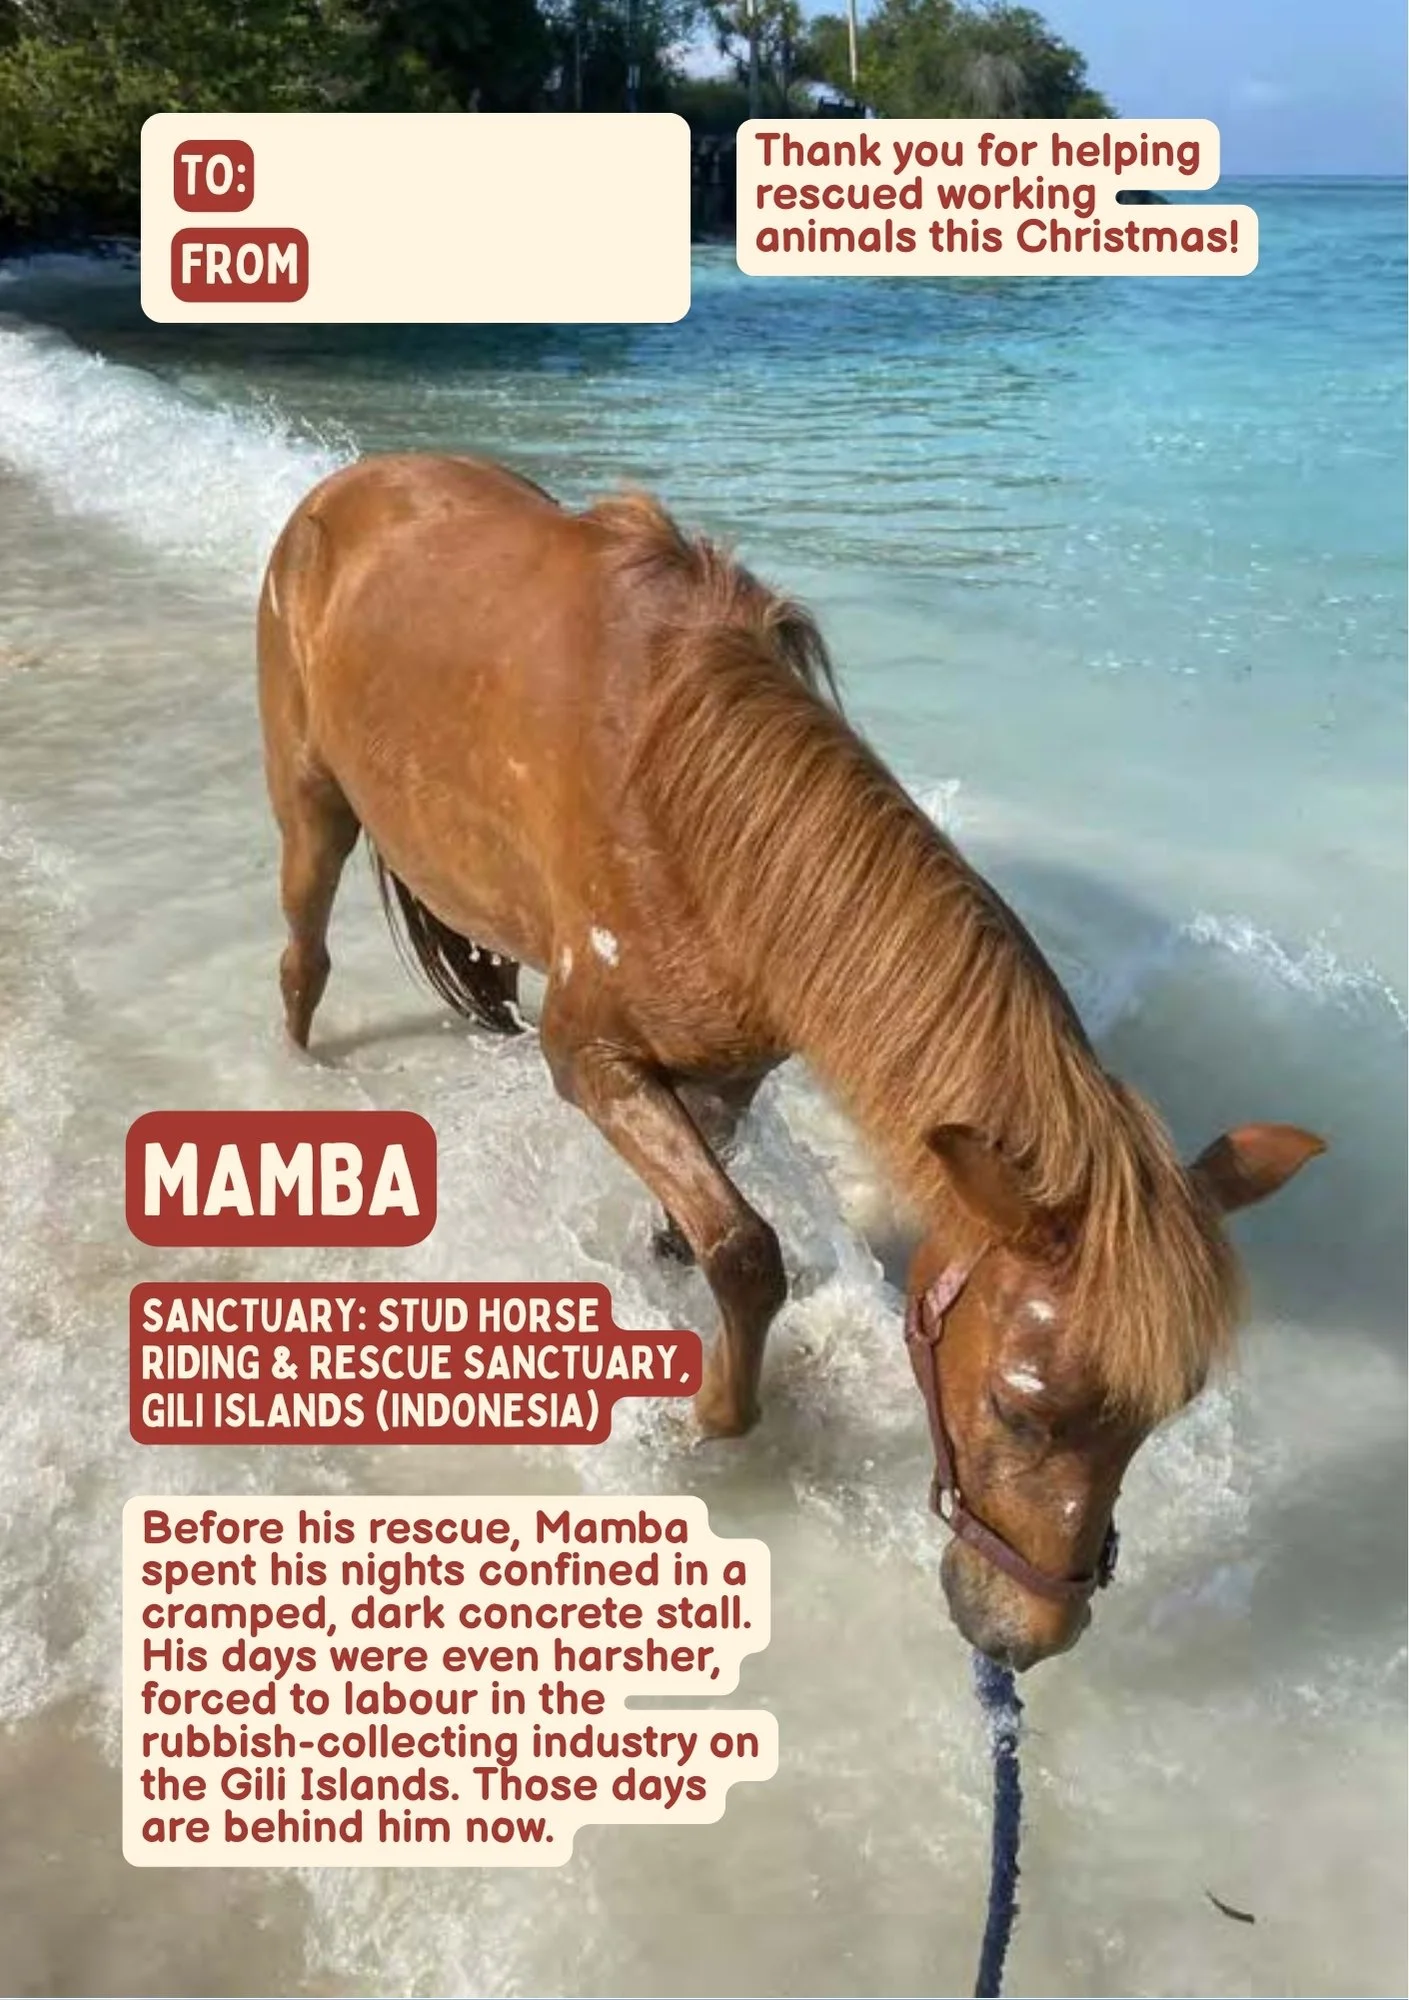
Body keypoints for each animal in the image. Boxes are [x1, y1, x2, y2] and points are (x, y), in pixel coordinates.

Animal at [257, 452, 1324, 1671]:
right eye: (1020, 1410)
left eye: (1156, 1418)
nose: (1026, 1638)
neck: (686, 807)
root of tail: (347, 487)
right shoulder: (589, 1057)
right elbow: (746, 1252)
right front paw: (711, 1416)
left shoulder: (725, 1072)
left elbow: (700, 1229)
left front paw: (671, 1290)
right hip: (311, 804)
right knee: (302, 958)